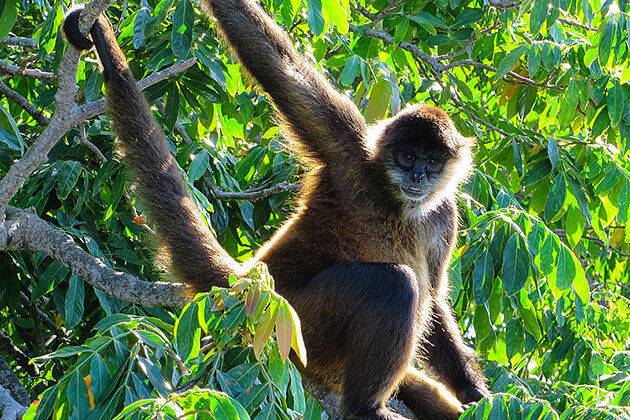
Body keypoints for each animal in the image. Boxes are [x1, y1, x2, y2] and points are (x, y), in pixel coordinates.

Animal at [63, 1, 488, 418]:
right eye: (407, 157)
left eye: (432, 162)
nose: (418, 175)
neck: (399, 203)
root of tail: (245, 283)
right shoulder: (350, 154)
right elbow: (282, 69)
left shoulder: (443, 216)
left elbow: (435, 300)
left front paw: (473, 391)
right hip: (295, 322)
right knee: (394, 284)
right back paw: (364, 407)